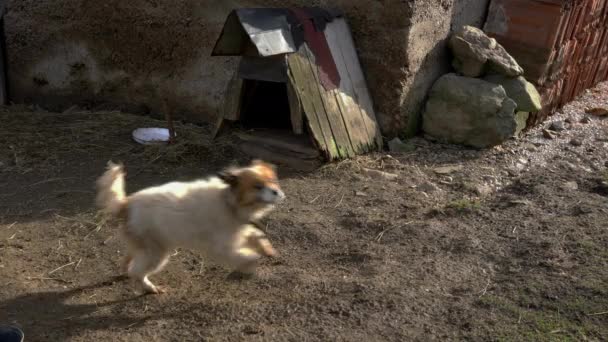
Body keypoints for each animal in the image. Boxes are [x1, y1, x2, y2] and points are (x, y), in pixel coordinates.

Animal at [95, 159, 284, 292]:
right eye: (257, 186)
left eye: (273, 181)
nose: (276, 192)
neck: (227, 200)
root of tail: (126, 204)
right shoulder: (222, 246)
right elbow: (246, 256)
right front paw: (251, 265)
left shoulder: (238, 230)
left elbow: (256, 235)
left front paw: (267, 249)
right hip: (155, 253)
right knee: (137, 272)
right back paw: (150, 288)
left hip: (143, 246)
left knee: (129, 260)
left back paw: (126, 271)